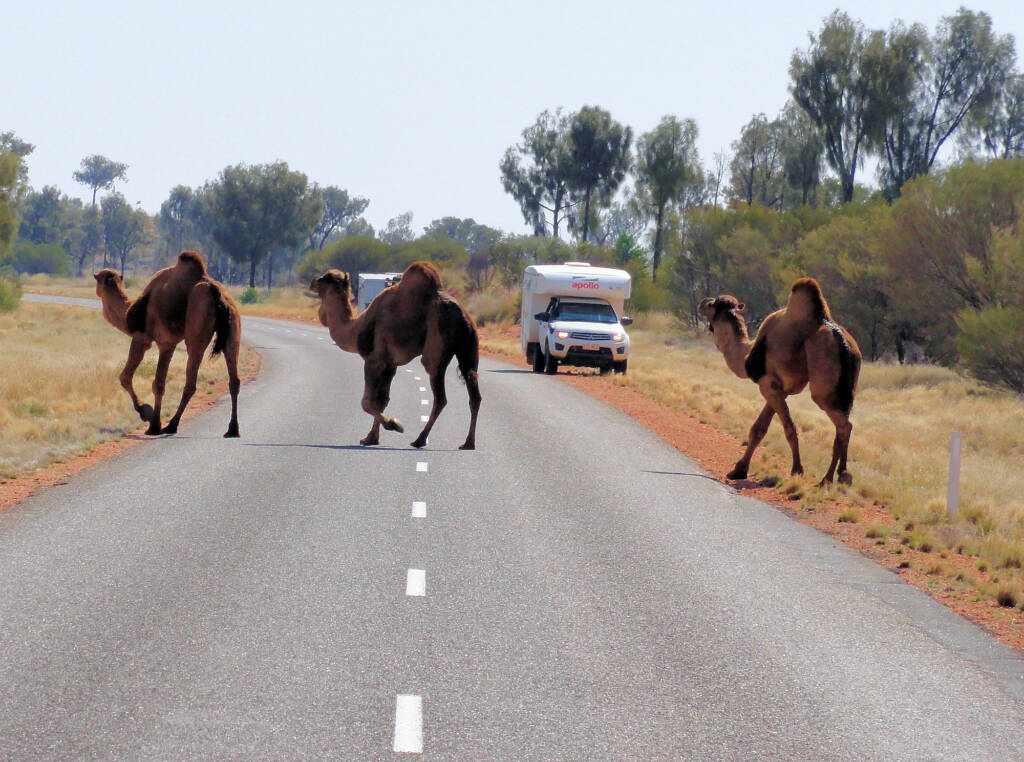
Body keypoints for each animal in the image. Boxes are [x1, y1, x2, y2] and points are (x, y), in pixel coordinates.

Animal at [94, 250, 241, 438]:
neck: (130, 313)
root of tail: (218, 295)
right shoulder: (169, 344)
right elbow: (156, 381)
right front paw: (151, 418)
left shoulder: (149, 339)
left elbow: (137, 379)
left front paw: (149, 417)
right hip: (233, 330)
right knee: (234, 379)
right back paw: (232, 429)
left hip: (197, 327)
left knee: (191, 381)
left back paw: (171, 425)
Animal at [309, 261, 481, 450]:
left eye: (326, 277)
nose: (312, 281)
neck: (355, 328)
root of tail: (464, 319)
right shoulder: (390, 365)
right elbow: (382, 400)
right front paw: (370, 438)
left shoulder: (374, 360)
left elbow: (367, 402)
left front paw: (394, 424)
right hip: (469, 351)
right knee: (474, 393)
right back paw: (468, 442)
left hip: (436, 347)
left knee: (440, 397)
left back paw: (420, 439)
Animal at [698, 277, 861, 486]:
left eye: (712, 305)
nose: (702, 303)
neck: (746, 354)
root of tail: (843, 344)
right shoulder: (778, 388)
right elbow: (759, 429)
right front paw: (738, 470)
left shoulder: (768, 384)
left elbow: (789, 428)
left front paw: (797, 470)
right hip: (847, 390)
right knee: (846, 423)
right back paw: (843, 475)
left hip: (823, 387)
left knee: (843, 426)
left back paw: (827, 479)